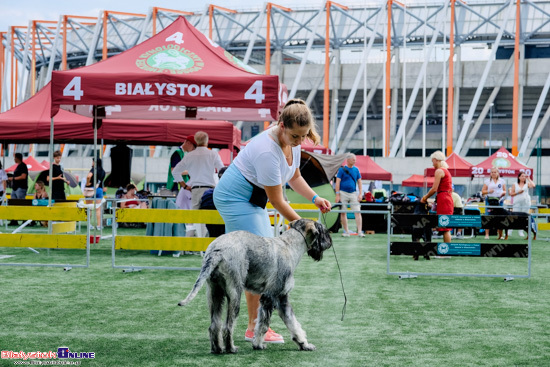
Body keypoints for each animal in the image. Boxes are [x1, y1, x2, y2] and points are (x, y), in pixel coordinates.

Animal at [180, 218, 332, 354]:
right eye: (322, 231)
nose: (330, 242)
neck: (290, 246)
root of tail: (216, 251)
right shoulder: (271, 297)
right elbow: (265, 325)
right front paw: (259, 345)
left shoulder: (280, 299)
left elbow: (292, 323)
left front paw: (303, 344)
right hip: (234, 294)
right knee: (227, 326)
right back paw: (231, 348)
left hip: (215, 294)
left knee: (214, 325)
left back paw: (217, 349)